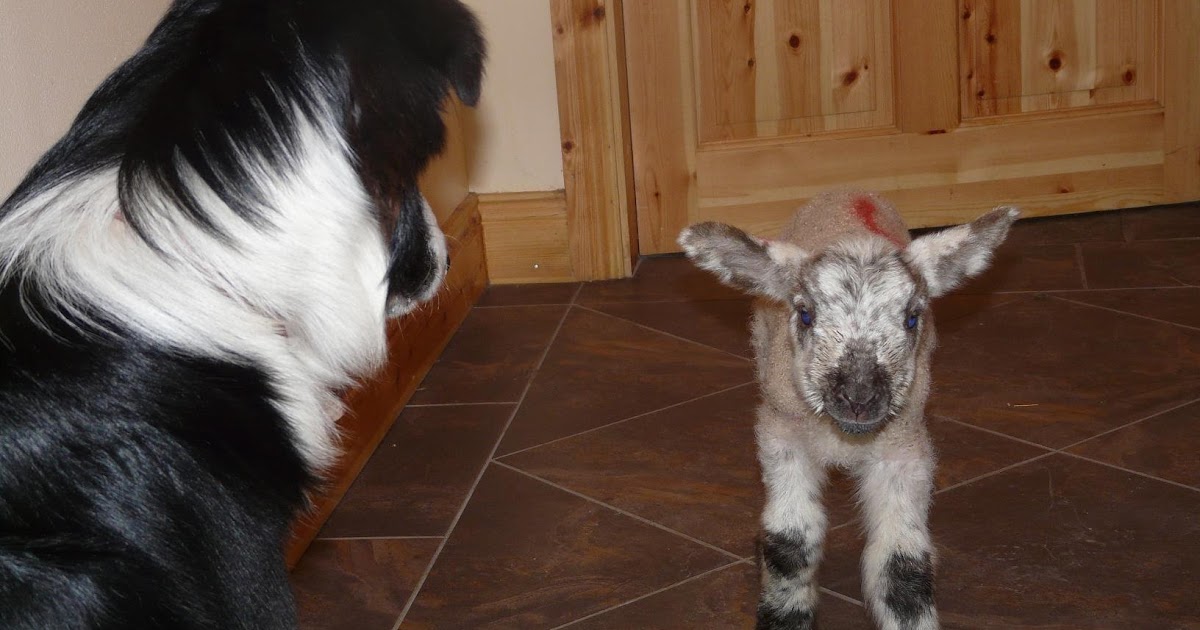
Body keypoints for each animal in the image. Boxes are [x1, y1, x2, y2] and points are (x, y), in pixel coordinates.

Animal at [678, 191, 1019, 630]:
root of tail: (849, 194)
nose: (859, 398)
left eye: (913, 318)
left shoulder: (904, 448)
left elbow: (902, 560)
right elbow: (790, 541)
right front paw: (783, 616)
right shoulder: (781, 434)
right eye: (805, 314)